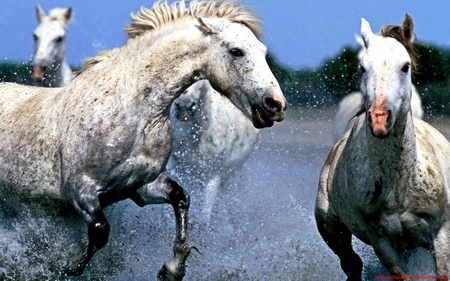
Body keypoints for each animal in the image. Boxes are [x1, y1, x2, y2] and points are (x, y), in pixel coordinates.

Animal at [314, 14, 450, 278]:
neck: (399, 184)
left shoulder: (441, 234)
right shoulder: (383, 243)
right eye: (362, 67)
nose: (379, 119)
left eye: (405, 66)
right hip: (331, 228)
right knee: (352, 264)